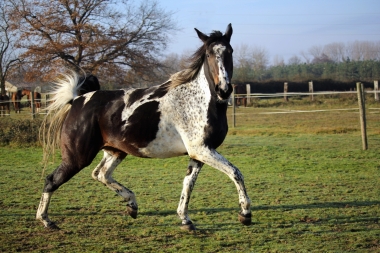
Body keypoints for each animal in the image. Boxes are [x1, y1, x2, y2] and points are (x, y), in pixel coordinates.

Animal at [37, 24, 251, 231]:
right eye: (208, 54)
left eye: (230, 51)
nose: (224, 89)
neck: (198, 101)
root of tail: (77, 100)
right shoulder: (202, 150)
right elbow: (236, 173)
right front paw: (245, 214)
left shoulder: (199, 153)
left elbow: (188, 185)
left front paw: (185, 220)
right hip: (77, 157)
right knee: (51, 181)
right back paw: (46, 221)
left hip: (115, 151)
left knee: (101, 174)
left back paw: (132, 206)